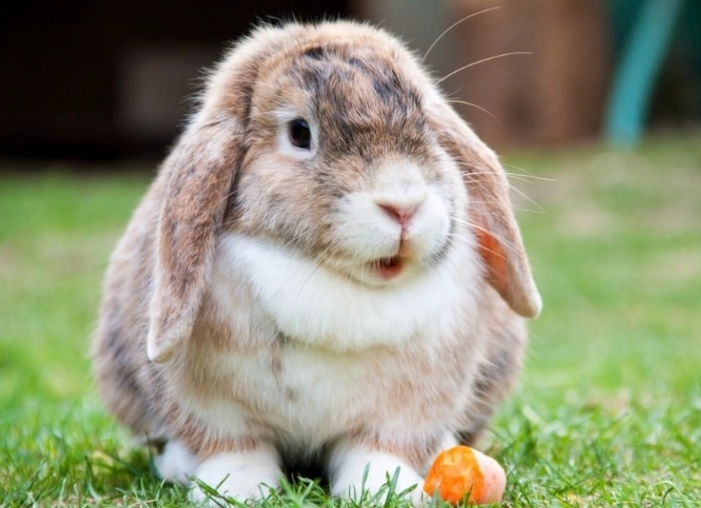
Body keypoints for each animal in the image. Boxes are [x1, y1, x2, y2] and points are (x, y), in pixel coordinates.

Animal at [92, 19, 541, 506]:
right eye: (299, 132)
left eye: (425, 121)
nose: (403, 206)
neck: (334, 280)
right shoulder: (214, 409)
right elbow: (235, 448)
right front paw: (238, 491)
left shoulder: (403, 412)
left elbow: (377, 450)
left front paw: (385, 490)